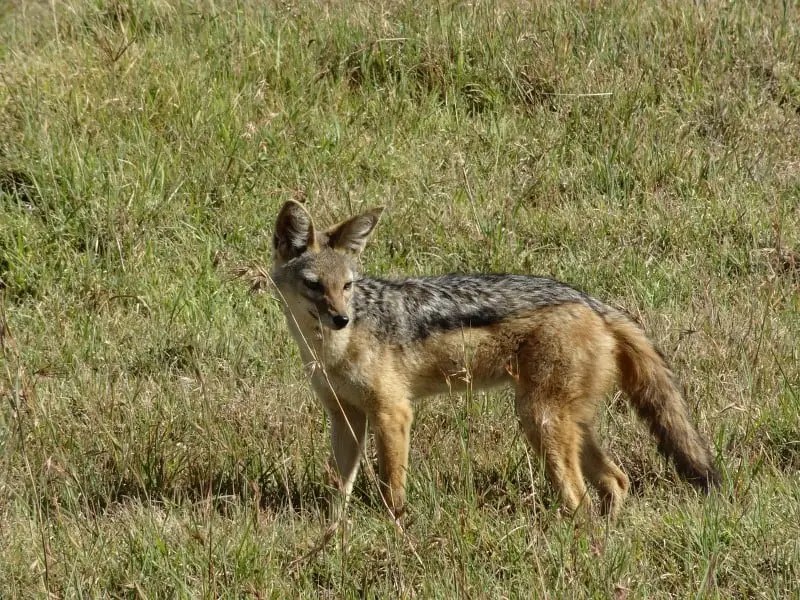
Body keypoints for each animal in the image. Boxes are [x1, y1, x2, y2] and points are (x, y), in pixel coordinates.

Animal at [269, 200, 720, 521]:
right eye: (315, 286)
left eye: (347, 286)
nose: (341, 318)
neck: (329, 350)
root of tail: (592, 301)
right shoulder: (346, 418)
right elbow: (339, 487)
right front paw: (332, 533)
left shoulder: (393, 412)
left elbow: (391, 489)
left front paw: (394, 529)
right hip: (563, 425)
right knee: (617, 480)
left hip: (538, 421)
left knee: (581, 499)